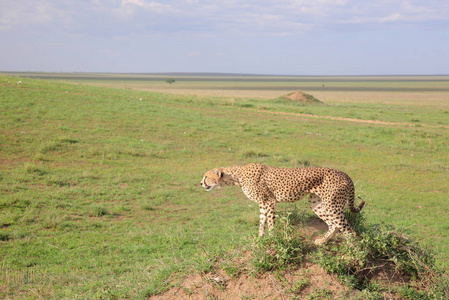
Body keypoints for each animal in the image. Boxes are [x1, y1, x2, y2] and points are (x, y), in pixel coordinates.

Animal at [200, 163, 364, 245]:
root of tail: (345, 174)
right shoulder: (263, 204)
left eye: (206, 176)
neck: (236, 176)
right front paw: (260, 238)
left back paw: (350, 253)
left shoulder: (269, 201)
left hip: (333, 205)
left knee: (350, 230)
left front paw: (272, 239)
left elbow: (271, 223)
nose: (201, 183)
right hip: (317, 203)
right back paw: (322, 241)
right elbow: (262, 222)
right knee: (334, 225)